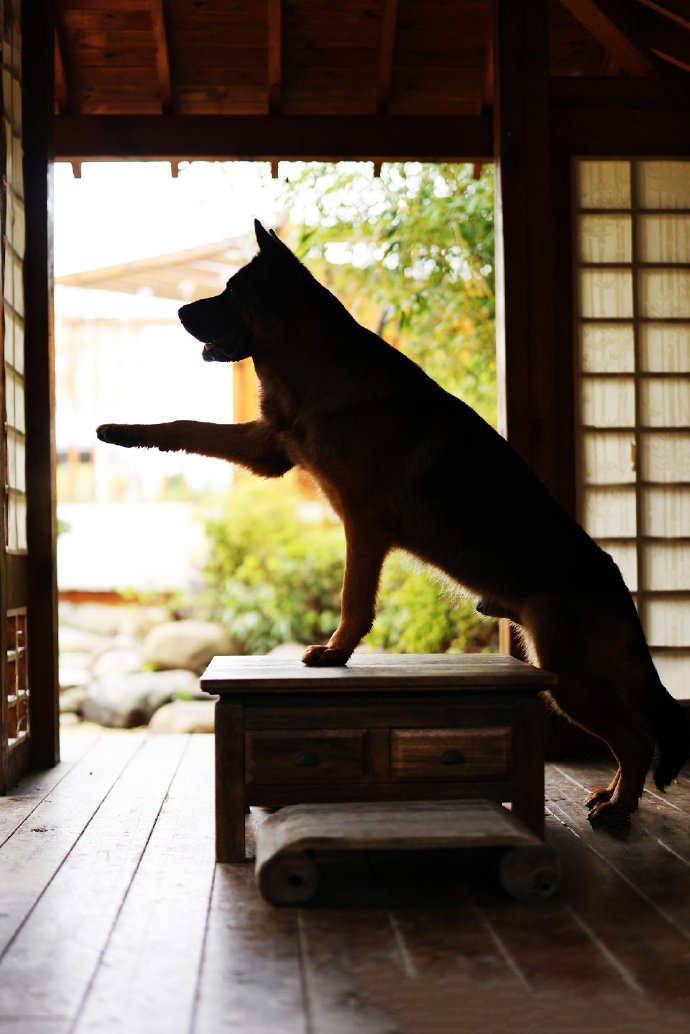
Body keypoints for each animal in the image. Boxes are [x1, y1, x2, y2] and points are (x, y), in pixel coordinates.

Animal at [98, 222, 690, 827]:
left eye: (234, 293)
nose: (179, 311)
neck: (316, 363)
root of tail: (618, 586)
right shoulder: (271, 449)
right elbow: (185, 425)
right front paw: (123, 432)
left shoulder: (362, 525)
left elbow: (353, 598)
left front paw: (336, 653)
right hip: (575, 678)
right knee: (633, 735)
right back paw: (612, 795)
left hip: (569, 679)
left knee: (638, 739)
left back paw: (619, 808)